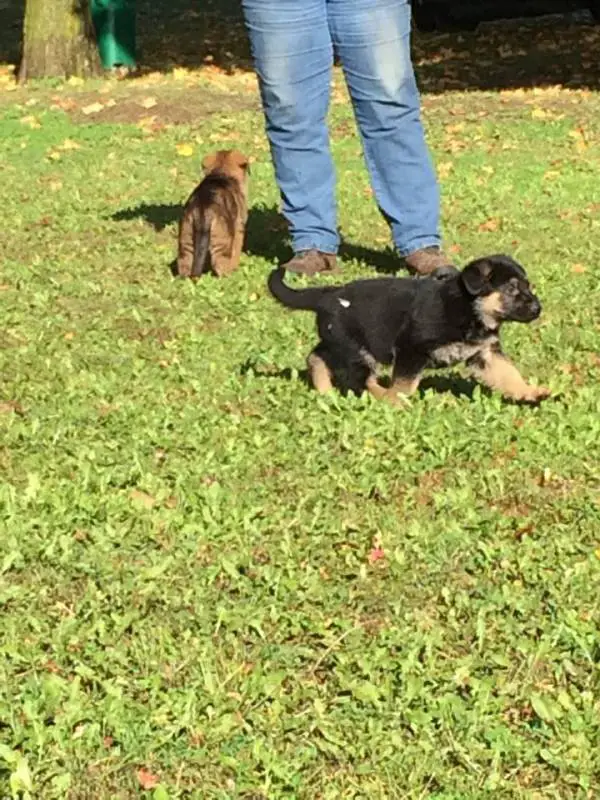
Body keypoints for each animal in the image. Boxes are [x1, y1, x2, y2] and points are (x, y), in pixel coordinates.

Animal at [176, 149, 250, 278]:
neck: (221, 171)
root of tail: (204, 211)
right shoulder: (239, 229)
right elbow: (237, 249)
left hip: (186, 238)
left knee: (184, 264)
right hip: (222, 243)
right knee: (221, 266)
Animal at [267, 254, 550, 404]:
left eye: (528, 286)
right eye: (512, 289)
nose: (538, 308)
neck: (469, 309)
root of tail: (327, 295)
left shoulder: (485, 354)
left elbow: (510, 374)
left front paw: (530, 392)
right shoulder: (411, 349)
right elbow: (404, 383)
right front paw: (398, 401)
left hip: (338, 342)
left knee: (315, 357)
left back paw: (324, 390)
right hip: (358, 350)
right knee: (361, 379)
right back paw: (385, 396)